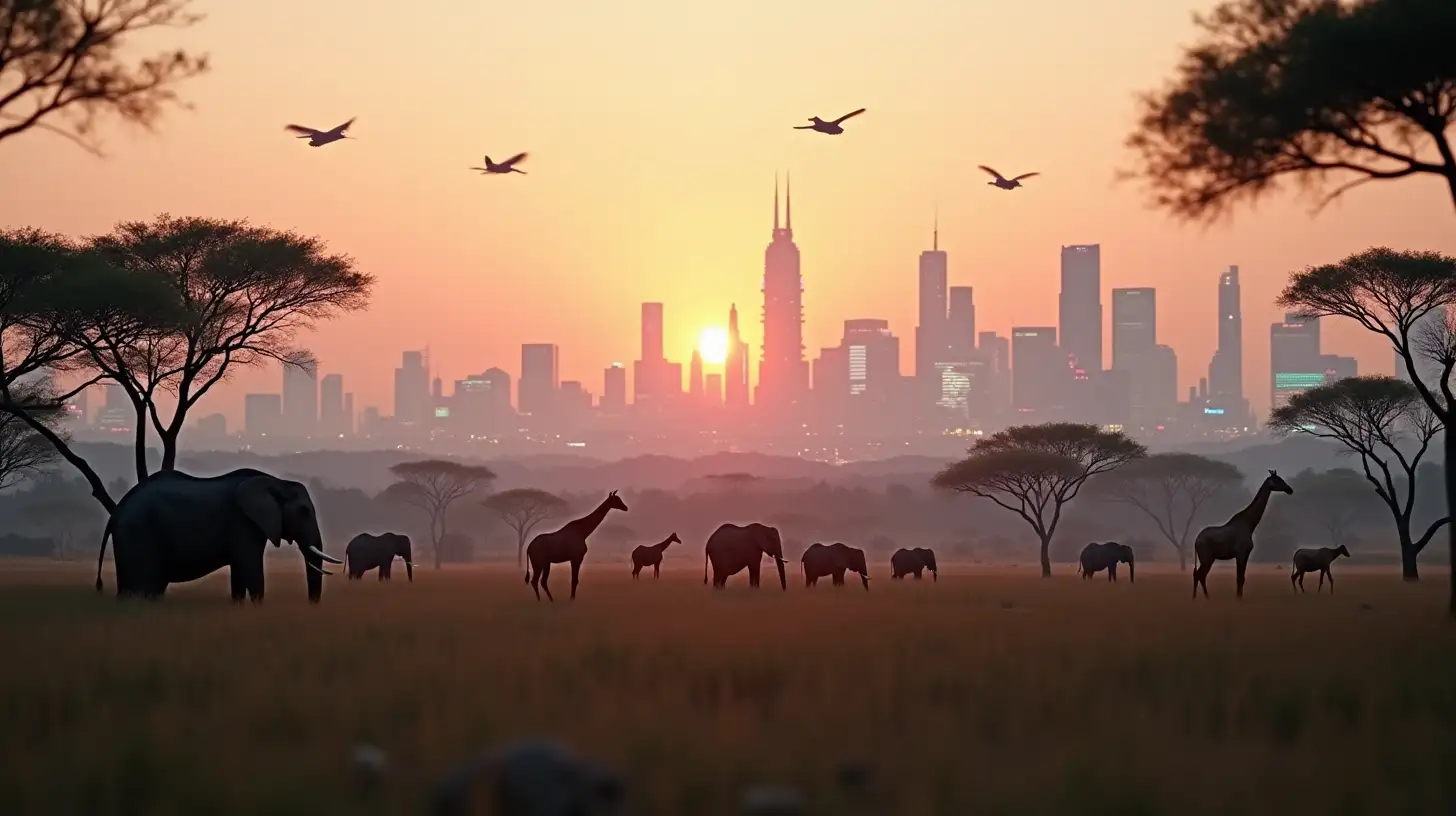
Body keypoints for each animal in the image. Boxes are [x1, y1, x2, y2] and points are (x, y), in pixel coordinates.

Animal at [93, 469, 340, 603]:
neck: (276, 481)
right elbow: (250, 567)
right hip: (138, 533)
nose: (312, 606)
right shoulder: (243, 522)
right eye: (304, 511)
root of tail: (117, 512)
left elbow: (240, 572)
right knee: (142, 586)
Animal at [1188, 472, 1292, 600]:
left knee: (1199, 575)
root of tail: (1196, 540)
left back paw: (1201, 598)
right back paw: (1201, 598)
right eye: (1277, 479)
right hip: (1206, 558)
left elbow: (1242, 578)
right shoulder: (1240, 553)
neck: (1249, 523)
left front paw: (1240, 597)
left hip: (1207, 559)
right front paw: (1238, 599)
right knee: (1199, 575)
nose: (1290, 489)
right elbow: (1239, 578)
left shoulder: (1246, 555)